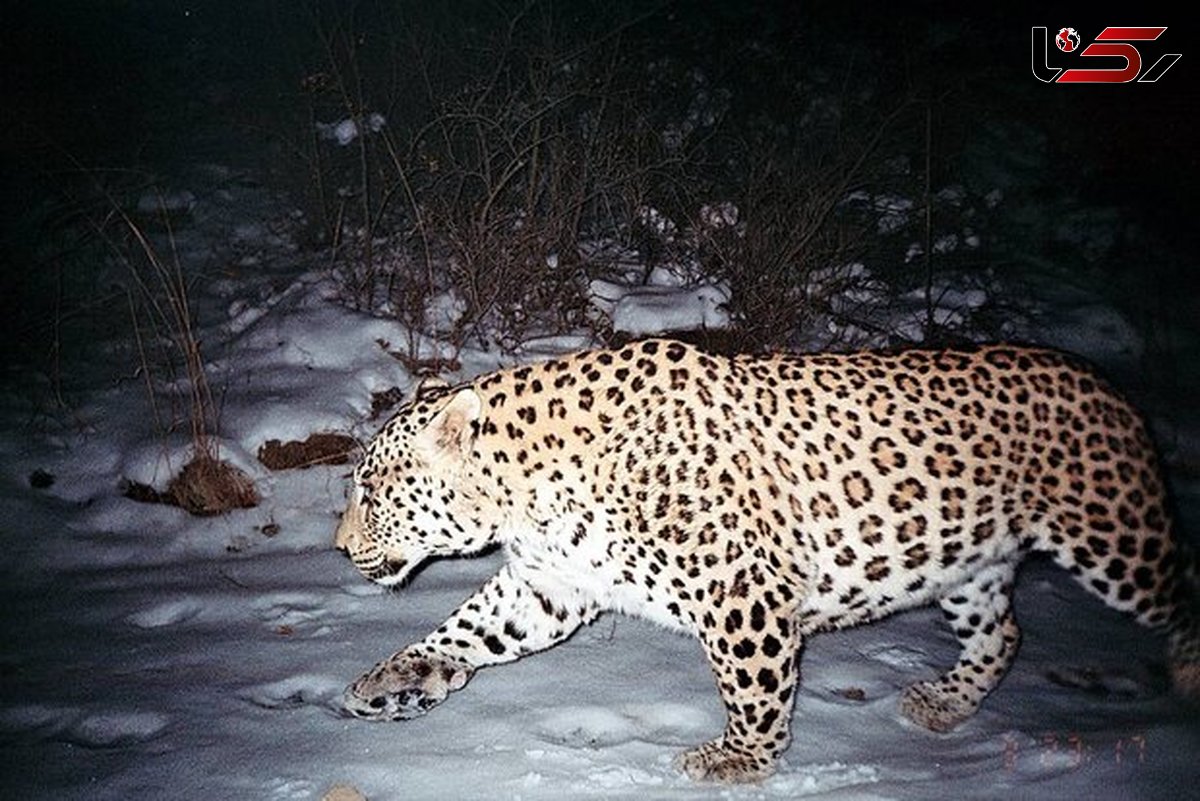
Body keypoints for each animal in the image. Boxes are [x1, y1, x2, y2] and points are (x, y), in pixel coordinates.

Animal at [336, 338, 1200, 781]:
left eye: (372, 490)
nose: (340, 546)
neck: (526, 488)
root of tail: (1098, 376)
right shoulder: (551, 583)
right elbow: (470, 627)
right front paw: (394, 677)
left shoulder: (740, 591)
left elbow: (753, 686)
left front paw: (742, 758)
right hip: (963, 561)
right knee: (1004, 633)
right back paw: (945, 703)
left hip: (1113, 538)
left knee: (1179, 587)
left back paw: (1188, 674)